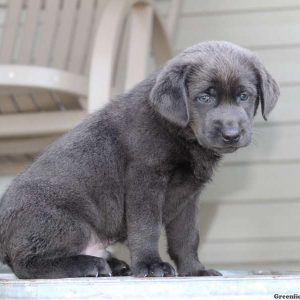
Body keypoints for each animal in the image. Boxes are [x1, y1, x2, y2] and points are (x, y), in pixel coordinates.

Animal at [0, 41, 278, 278]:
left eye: (244, 96)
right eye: (204, 97)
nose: (232, 134)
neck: (178, 132)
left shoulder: (188, 197)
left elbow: (187, 237)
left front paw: (194, 270)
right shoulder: (145, 181)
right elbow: (146, 227)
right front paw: (151, 265)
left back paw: (113, 264)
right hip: (63, 222)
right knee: (26, 264)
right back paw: (89, 265)